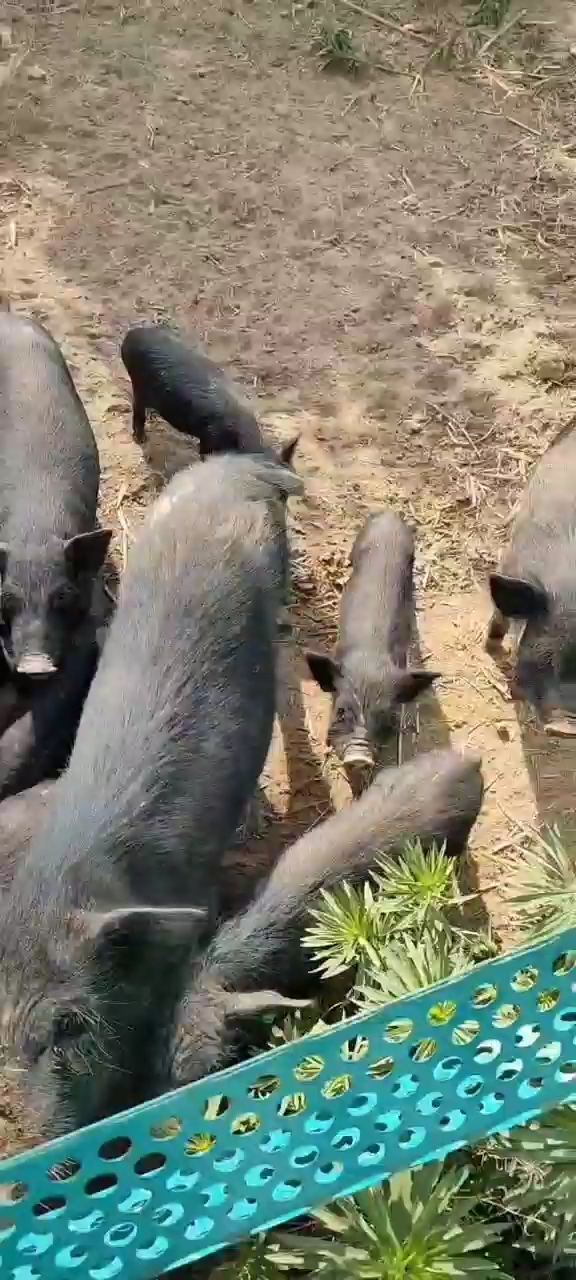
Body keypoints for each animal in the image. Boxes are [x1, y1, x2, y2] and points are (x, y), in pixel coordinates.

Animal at [121, 323, 299, 464]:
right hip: (139, 385)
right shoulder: (210, 439)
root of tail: (131, 334)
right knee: (137, 410)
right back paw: (141, 439)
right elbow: (205, 454)